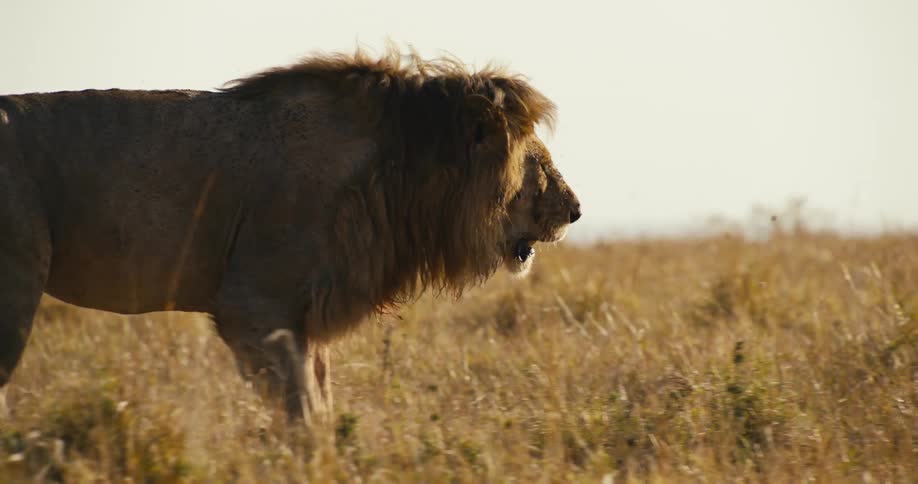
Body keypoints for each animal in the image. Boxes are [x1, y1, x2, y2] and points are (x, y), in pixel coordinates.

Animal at [0, 50, 581, 424]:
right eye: (533, 156)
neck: (400, 174)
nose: (575, 209)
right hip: (17, 285)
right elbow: (301, 414)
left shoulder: (304, 317)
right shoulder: (253, 306)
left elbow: (319, 403)